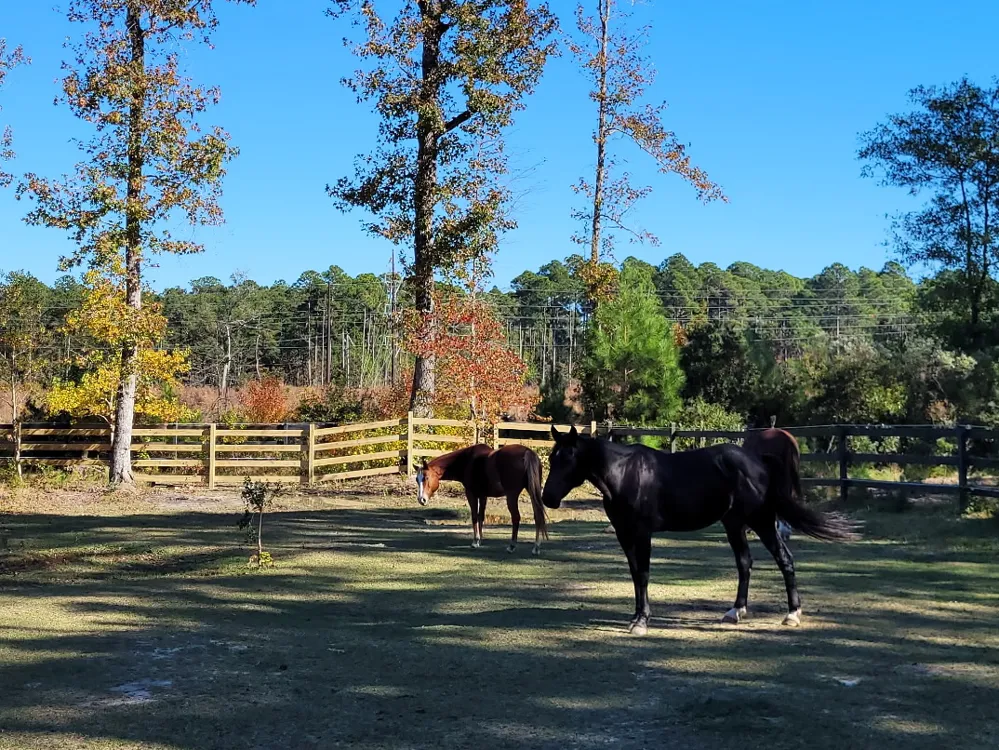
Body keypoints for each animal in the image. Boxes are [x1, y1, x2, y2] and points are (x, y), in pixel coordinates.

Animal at [416, 444, 550, 555]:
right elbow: (481, 516)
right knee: (538, 516)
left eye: (426, 477)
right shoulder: (483, 495)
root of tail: (527, 452)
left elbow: (475, 516)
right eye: (417, 479)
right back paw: (536, 547)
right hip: (532, 491)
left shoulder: (471, 494)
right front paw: (480, 540)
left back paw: (512, 546)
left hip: (512, 496)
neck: (466, 461)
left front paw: (475, 541)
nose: (421, 499)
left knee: (516, 517)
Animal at [541, 425, 858, 635]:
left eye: (567, 458)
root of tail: (758, 461)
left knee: (784, 560)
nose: (548, 499)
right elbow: (635, 575)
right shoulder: (624, 534)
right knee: (745, 563)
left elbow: (643, 574)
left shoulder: (642, 534)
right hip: (734, 524)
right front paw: (635, 617)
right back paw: (735, 611)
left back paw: (792, 614)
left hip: (762, 521)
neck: (625, 473)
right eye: (554, 457)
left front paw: (641, 622)